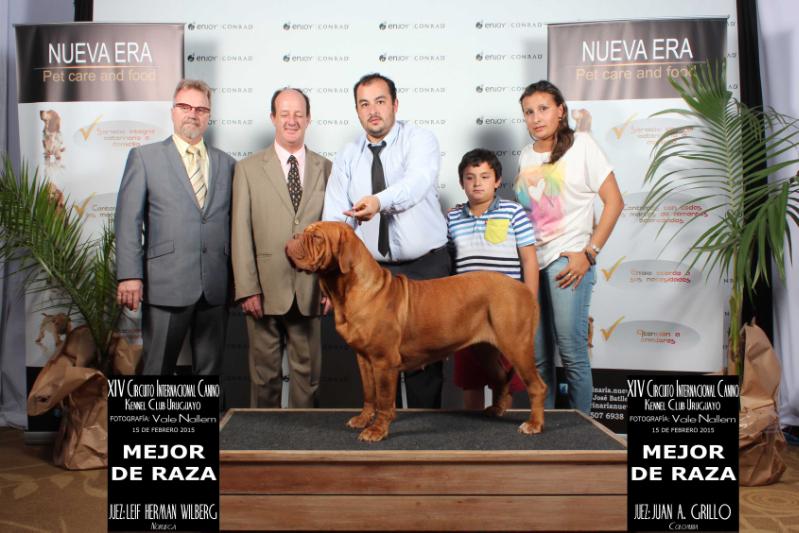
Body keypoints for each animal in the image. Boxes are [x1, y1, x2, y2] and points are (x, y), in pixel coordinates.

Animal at [290, 220, 552, 440]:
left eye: (317, 237)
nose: (293, 236)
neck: (348, 289)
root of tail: (522, 288)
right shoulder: (364, 358)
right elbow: (369, 393)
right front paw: (364, 419)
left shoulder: (384, 361)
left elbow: (384, 399)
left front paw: (376, 430)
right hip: (484, 351)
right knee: (499, 378)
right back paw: (497, 409)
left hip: (516, 346)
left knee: (537, 386)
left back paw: (534, 424)